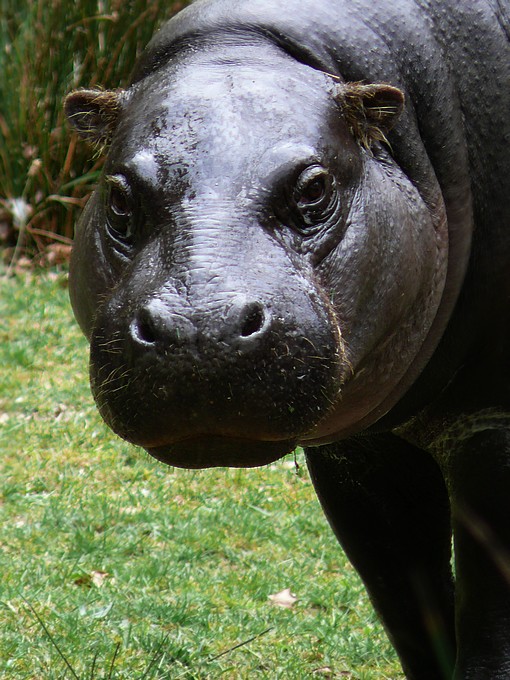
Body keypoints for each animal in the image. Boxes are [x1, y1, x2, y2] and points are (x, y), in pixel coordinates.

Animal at [64, 0, 510, 677]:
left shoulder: (493, 426)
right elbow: (415, 617)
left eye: (315, 188)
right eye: (117, 196)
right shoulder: (362, 455)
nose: (201, 326)